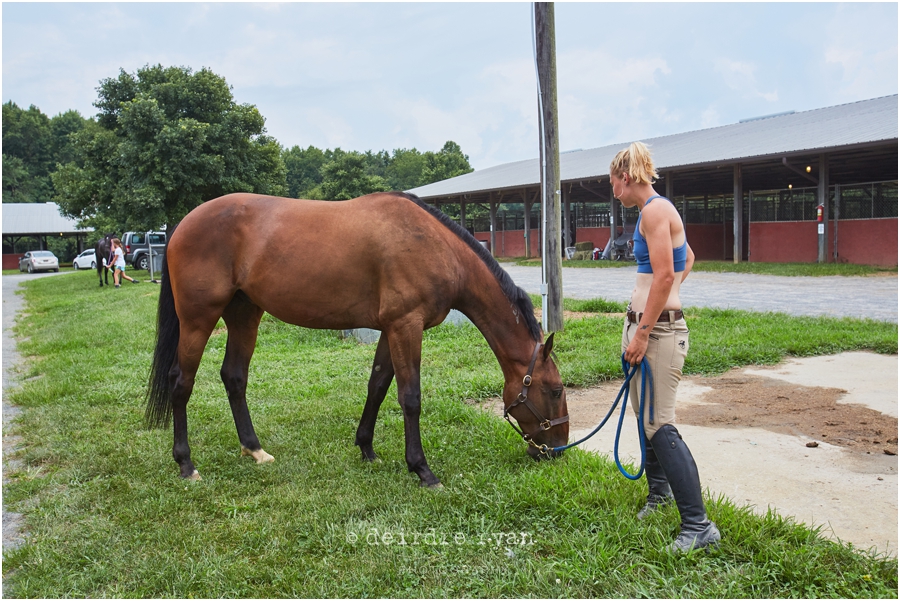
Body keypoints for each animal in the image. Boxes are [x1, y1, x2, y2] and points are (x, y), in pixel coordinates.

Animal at [147, 192, 568, 488]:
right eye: (556, 390)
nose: (556, 451)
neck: (435, 245)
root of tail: (181, 226)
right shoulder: (406, 325)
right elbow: (410, 398)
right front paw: (422, 469)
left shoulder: (391, 328)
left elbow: (378, 385)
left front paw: (366, 448)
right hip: (198, 319)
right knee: (181, 383)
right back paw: (186, 463)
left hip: (244, 314)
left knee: (234, 377)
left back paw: (254, 449)